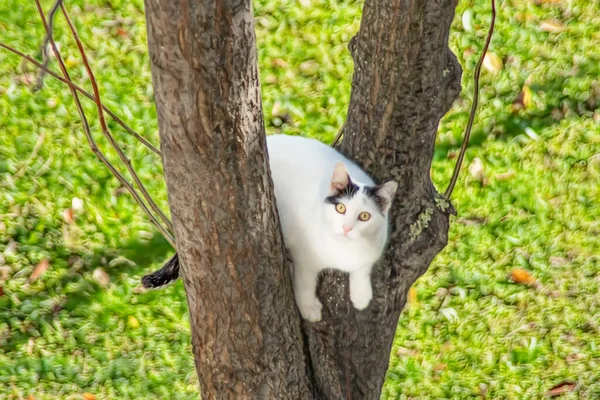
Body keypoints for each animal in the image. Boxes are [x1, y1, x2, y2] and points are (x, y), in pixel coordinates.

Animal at [142, 134, 398, 322]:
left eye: (364, 216)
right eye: (341, 209)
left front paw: (361, 294)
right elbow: (305, 283)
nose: (346, 228)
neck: (344, 251)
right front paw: (309, 308)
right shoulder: (305, 256)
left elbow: (362, 268)